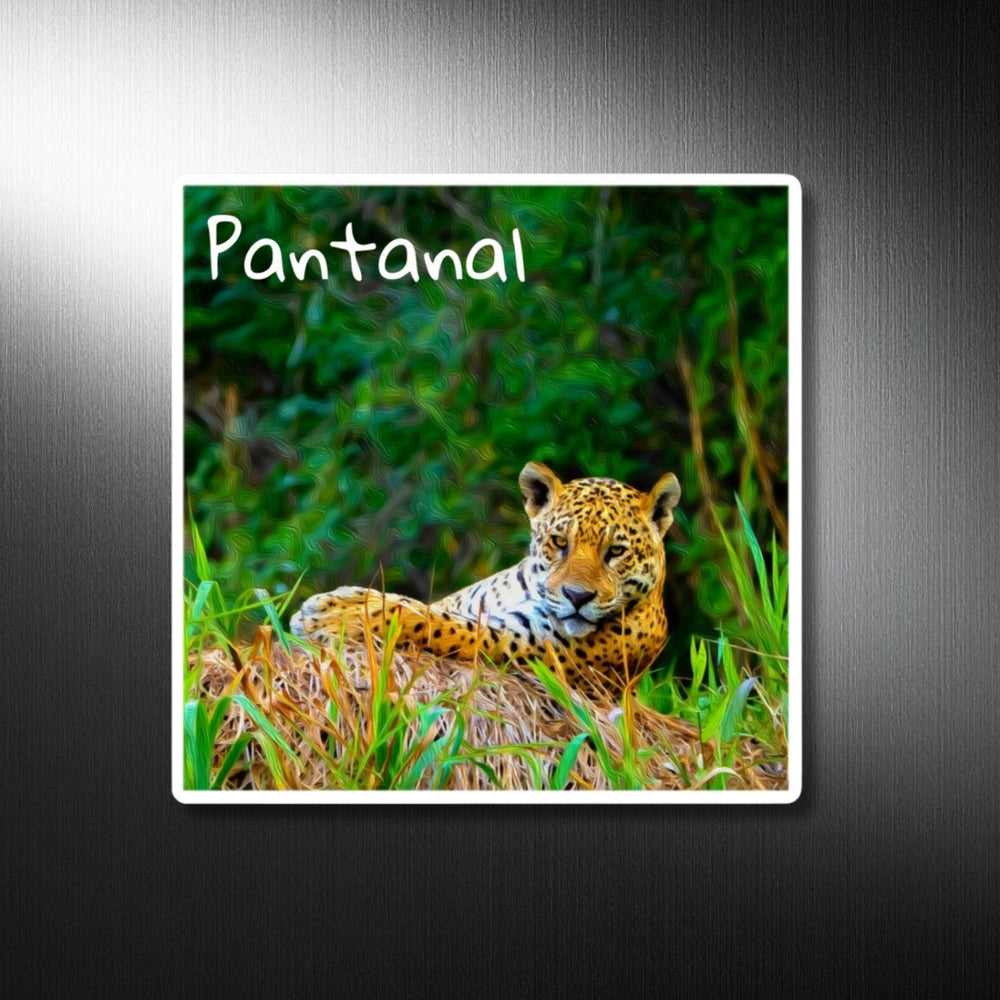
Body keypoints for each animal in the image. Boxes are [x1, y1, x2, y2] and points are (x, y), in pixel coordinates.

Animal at [290, 461, 681, 695]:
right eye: (560, 542)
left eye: (616, 551)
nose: (577, 596)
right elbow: (426, 607)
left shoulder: (521, 643)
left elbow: (435, 622)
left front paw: (332, 614)